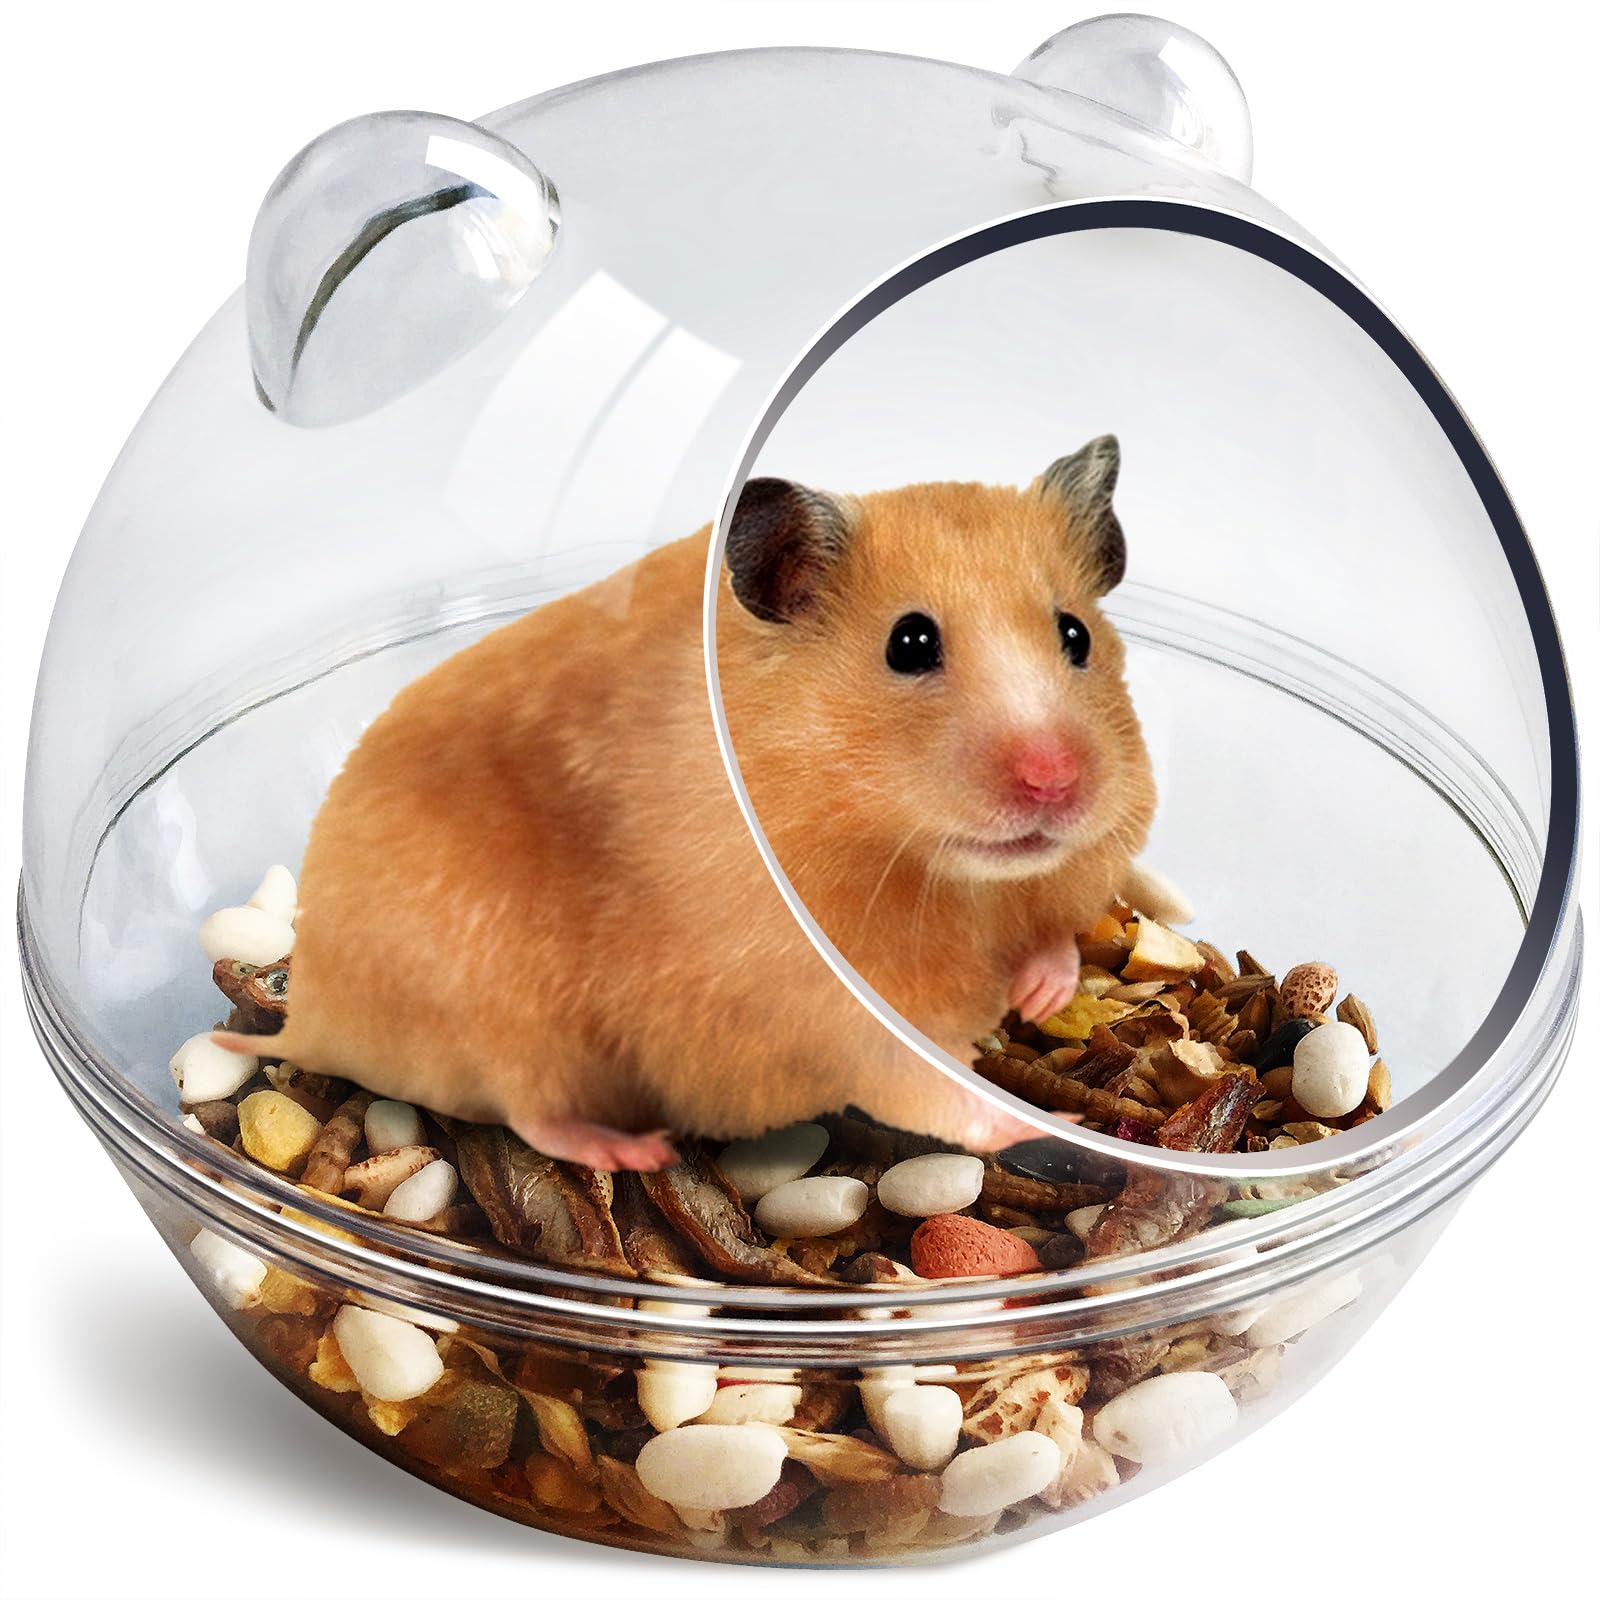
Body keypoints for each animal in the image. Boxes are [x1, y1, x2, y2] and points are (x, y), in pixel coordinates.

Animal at [215, 435, 1156, 1170]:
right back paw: (632, 1151)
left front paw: (1041, 995)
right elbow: (934, 1093)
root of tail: (317, 1013)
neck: (941, 878)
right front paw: (1050, 1119)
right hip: (501, 1012)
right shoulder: (832, 1011)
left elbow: (1054, 933)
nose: (1056, 783)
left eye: (1076, 634)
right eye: (911, 643)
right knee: (528, 1109)